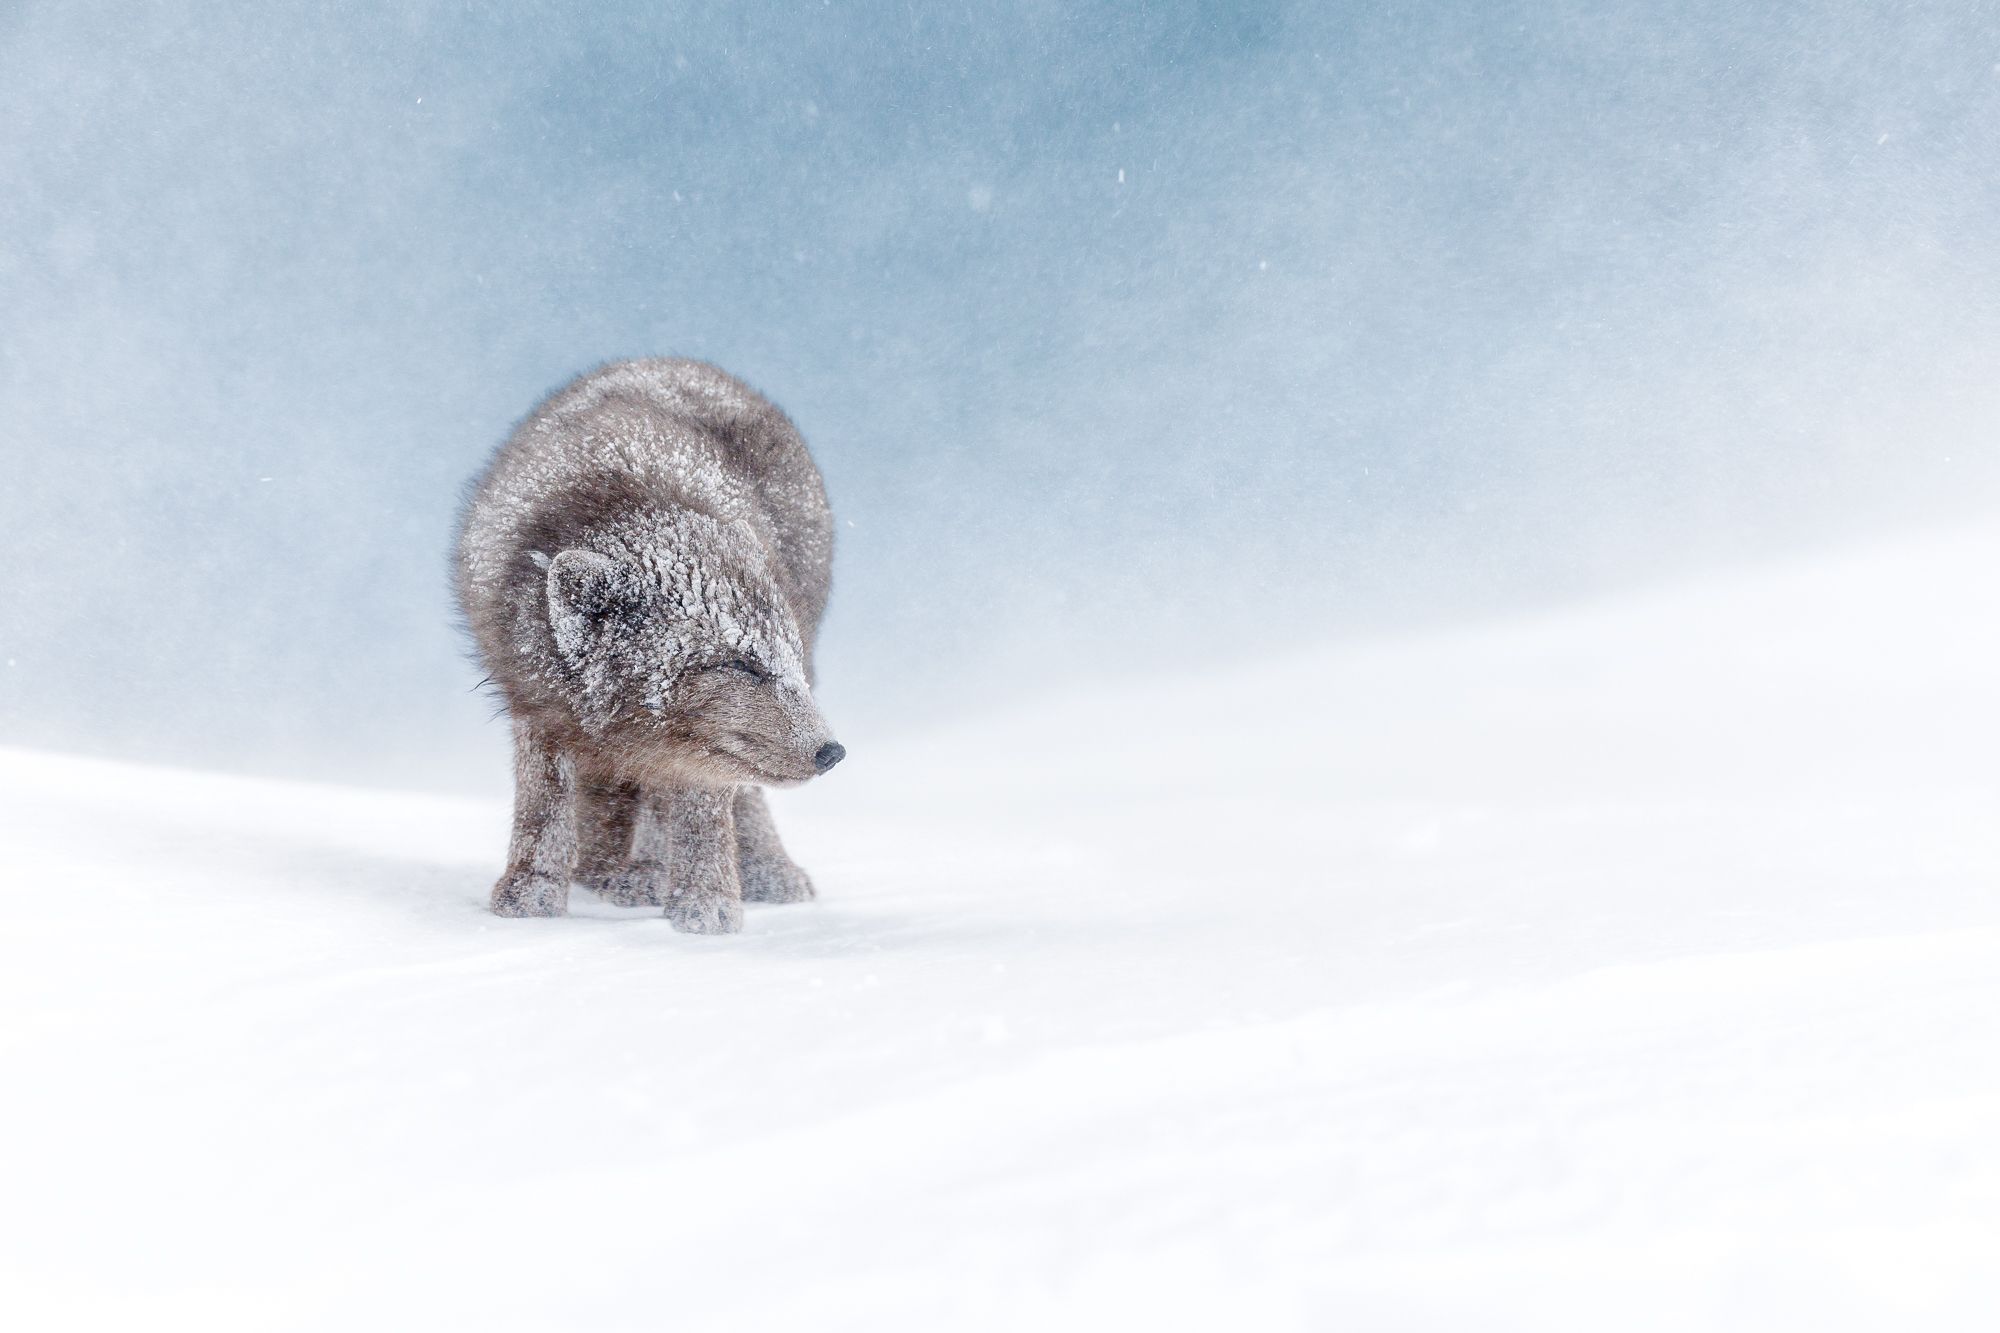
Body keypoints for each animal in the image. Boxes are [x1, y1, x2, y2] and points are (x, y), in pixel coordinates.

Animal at [456, 358, 844, 928]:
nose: (832, 752)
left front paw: (705, 905)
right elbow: (543, 806)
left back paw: (749, 872)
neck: (621, 488)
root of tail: (682, 363)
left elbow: (699, 806)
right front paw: (531, 893)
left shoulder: (700, 747)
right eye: (740, 664)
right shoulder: (536, 701)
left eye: (783, 660)